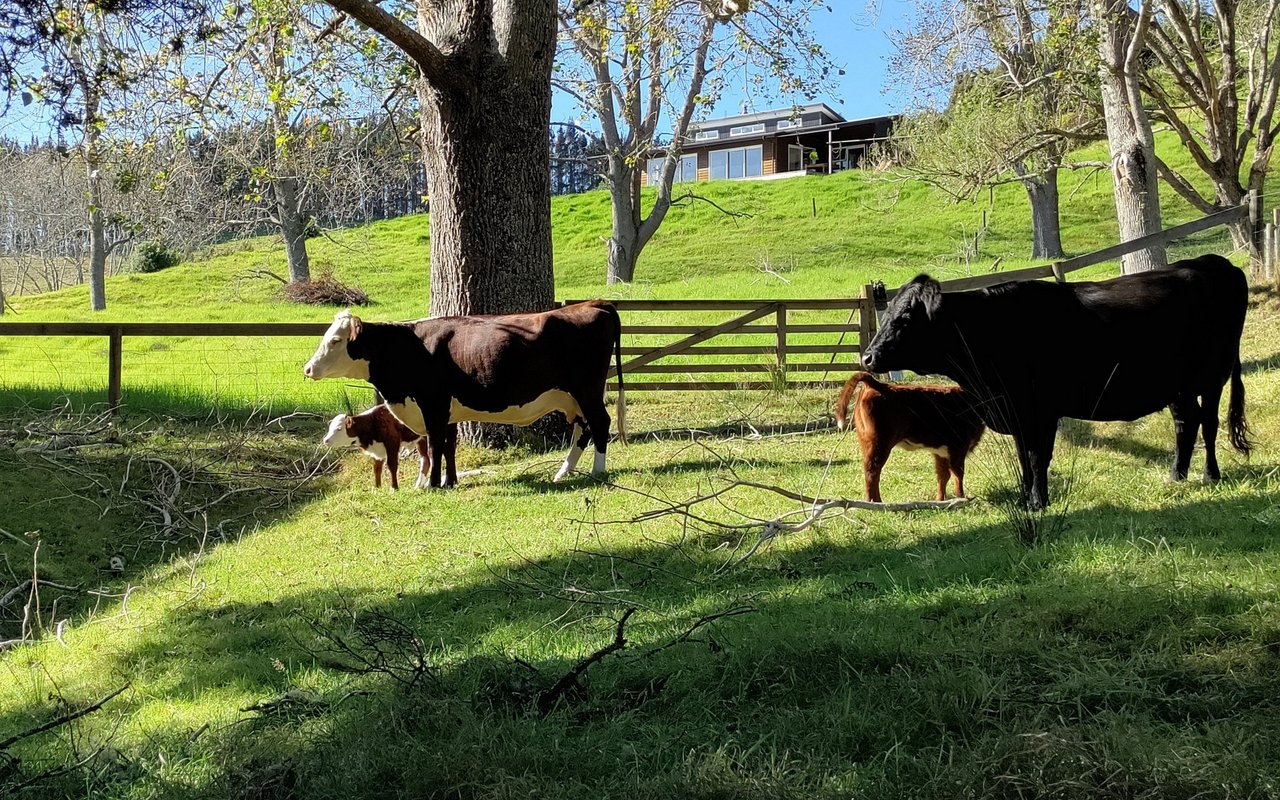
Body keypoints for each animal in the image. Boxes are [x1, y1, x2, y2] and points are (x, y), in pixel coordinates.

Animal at [303, 300, 625, 488]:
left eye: (335, 340)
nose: (307, 369)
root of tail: (594, 304)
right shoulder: (448, 411)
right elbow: (449, 446)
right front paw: (451, 481)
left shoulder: (433, 405)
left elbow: (435, 446)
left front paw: (433, 485)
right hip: (573, 396)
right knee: (583, 428)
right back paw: (564, 472)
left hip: (586, 389)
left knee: (600, 424)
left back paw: (598, 470)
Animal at [834, 371, 985, 502]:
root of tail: (879, 385)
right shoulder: (958, 447)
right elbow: (957, 474)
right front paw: (961, 498)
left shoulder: (941, 452)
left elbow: (943, 476)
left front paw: (940, 500)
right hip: (880, 443)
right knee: (872, 471)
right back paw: (875, 502)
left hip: (867, 441)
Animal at [861, 254, 1252, 509]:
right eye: (888, 312)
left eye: (906, 318)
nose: (867, 356)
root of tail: (1213, 262)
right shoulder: (1016, 413)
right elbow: (1023, 459)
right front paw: (1024, 498)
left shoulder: (1040, 411)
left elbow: (1038, 458)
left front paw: (1039, 501)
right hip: (1177, 387)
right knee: (1186, 423)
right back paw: (1176, 476)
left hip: (1212, 377)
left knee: (1209, 423)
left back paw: (1210, 475)